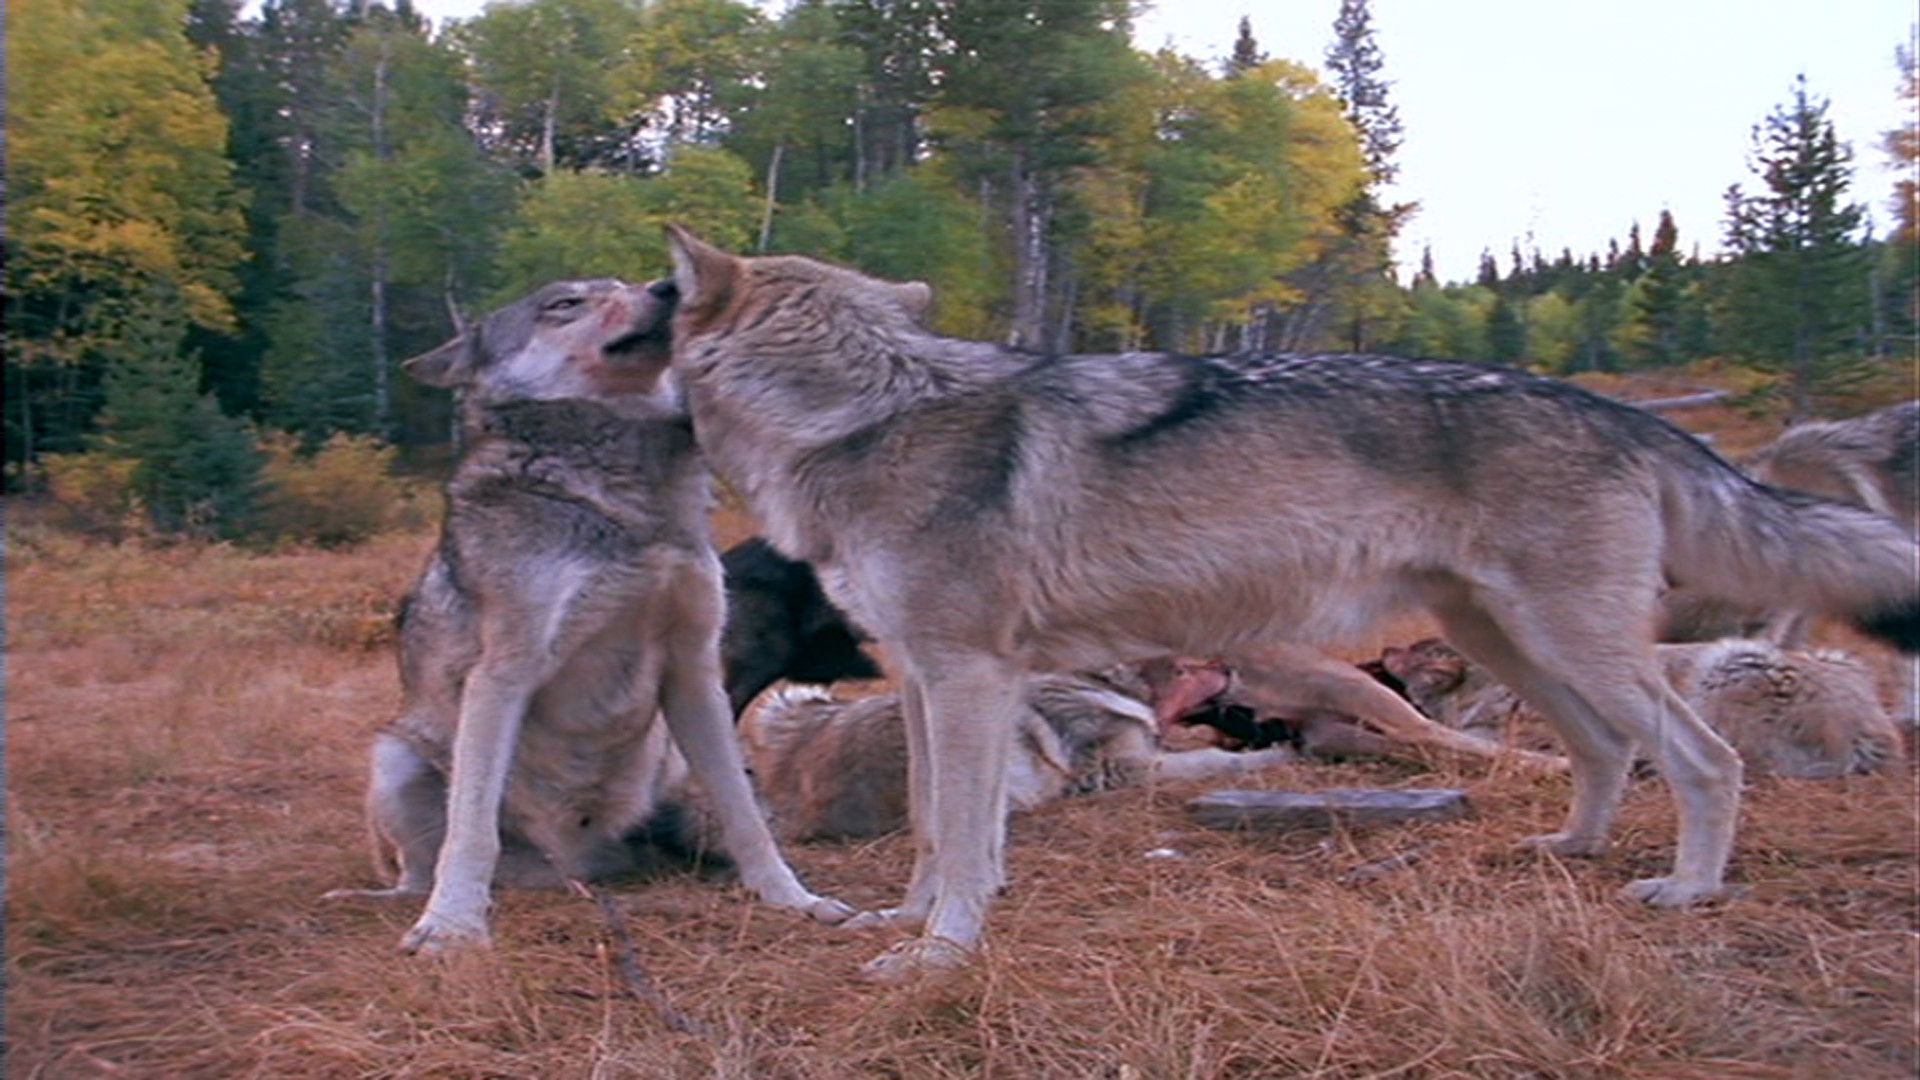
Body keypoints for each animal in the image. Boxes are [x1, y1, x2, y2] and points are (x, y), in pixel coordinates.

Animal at [323, 278, 850, 953]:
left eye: (626, 284)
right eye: (566, 303)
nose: (670, 285)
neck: (624, 500)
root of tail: (578, 864)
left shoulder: (694, 671)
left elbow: (745, 818)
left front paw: (793, 900)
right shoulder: (502, 676)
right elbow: (471, 832)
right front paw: (452, 928)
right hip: (394, 757)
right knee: (421, 871)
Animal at [658, 226, 1920, 979]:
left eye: (657, 299)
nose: (628, 298)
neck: (859, 417)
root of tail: (1618, 410)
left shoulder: (968, 675)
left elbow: (965, 839)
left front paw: (940, 955)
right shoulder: (924, 678)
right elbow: (932, 825)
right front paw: (909, 923)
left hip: (1570, 645)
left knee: (1706, 759)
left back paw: (1688, 889)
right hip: (1513, 644)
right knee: (1606, 752)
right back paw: (1569, 847)